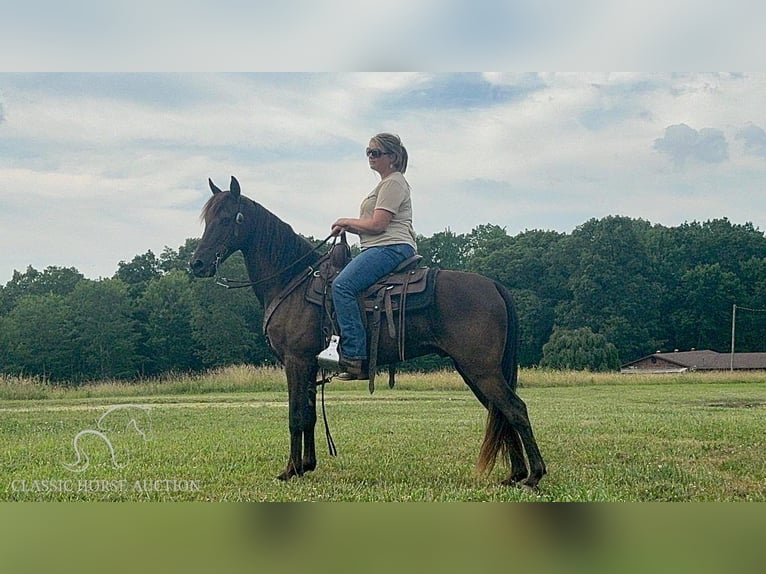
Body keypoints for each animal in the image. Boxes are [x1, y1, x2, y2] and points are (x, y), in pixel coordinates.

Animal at [194, 178, 552, 488]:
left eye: (226, 219)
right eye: (206, 218)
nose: (196, 264)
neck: (291, 281)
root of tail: (493, 285)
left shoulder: (296, 361)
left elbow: (296, 415)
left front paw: (290, 470)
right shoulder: (309, 365)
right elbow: (309, 415)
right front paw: (307, 465)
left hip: (481, 369)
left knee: (515, 409)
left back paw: (534, 475)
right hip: (475, 370)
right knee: (500, 411)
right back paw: (515, 474)